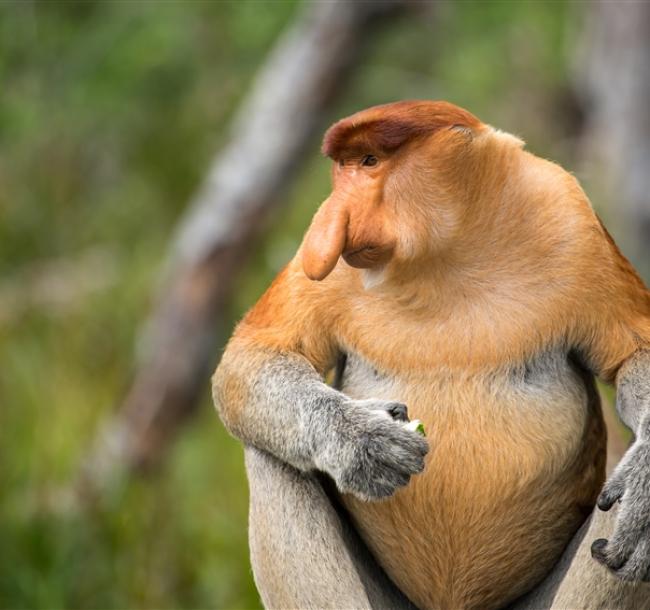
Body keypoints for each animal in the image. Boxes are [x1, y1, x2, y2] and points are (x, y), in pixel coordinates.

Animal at [211, 102, 648, 604]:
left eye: (369, 162)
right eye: (342, 167)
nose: (329, 222)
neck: (447, 252)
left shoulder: (572, 219)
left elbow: (634, 354)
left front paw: (645, 496)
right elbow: (254, 353)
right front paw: (363, 441)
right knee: (271, 459)